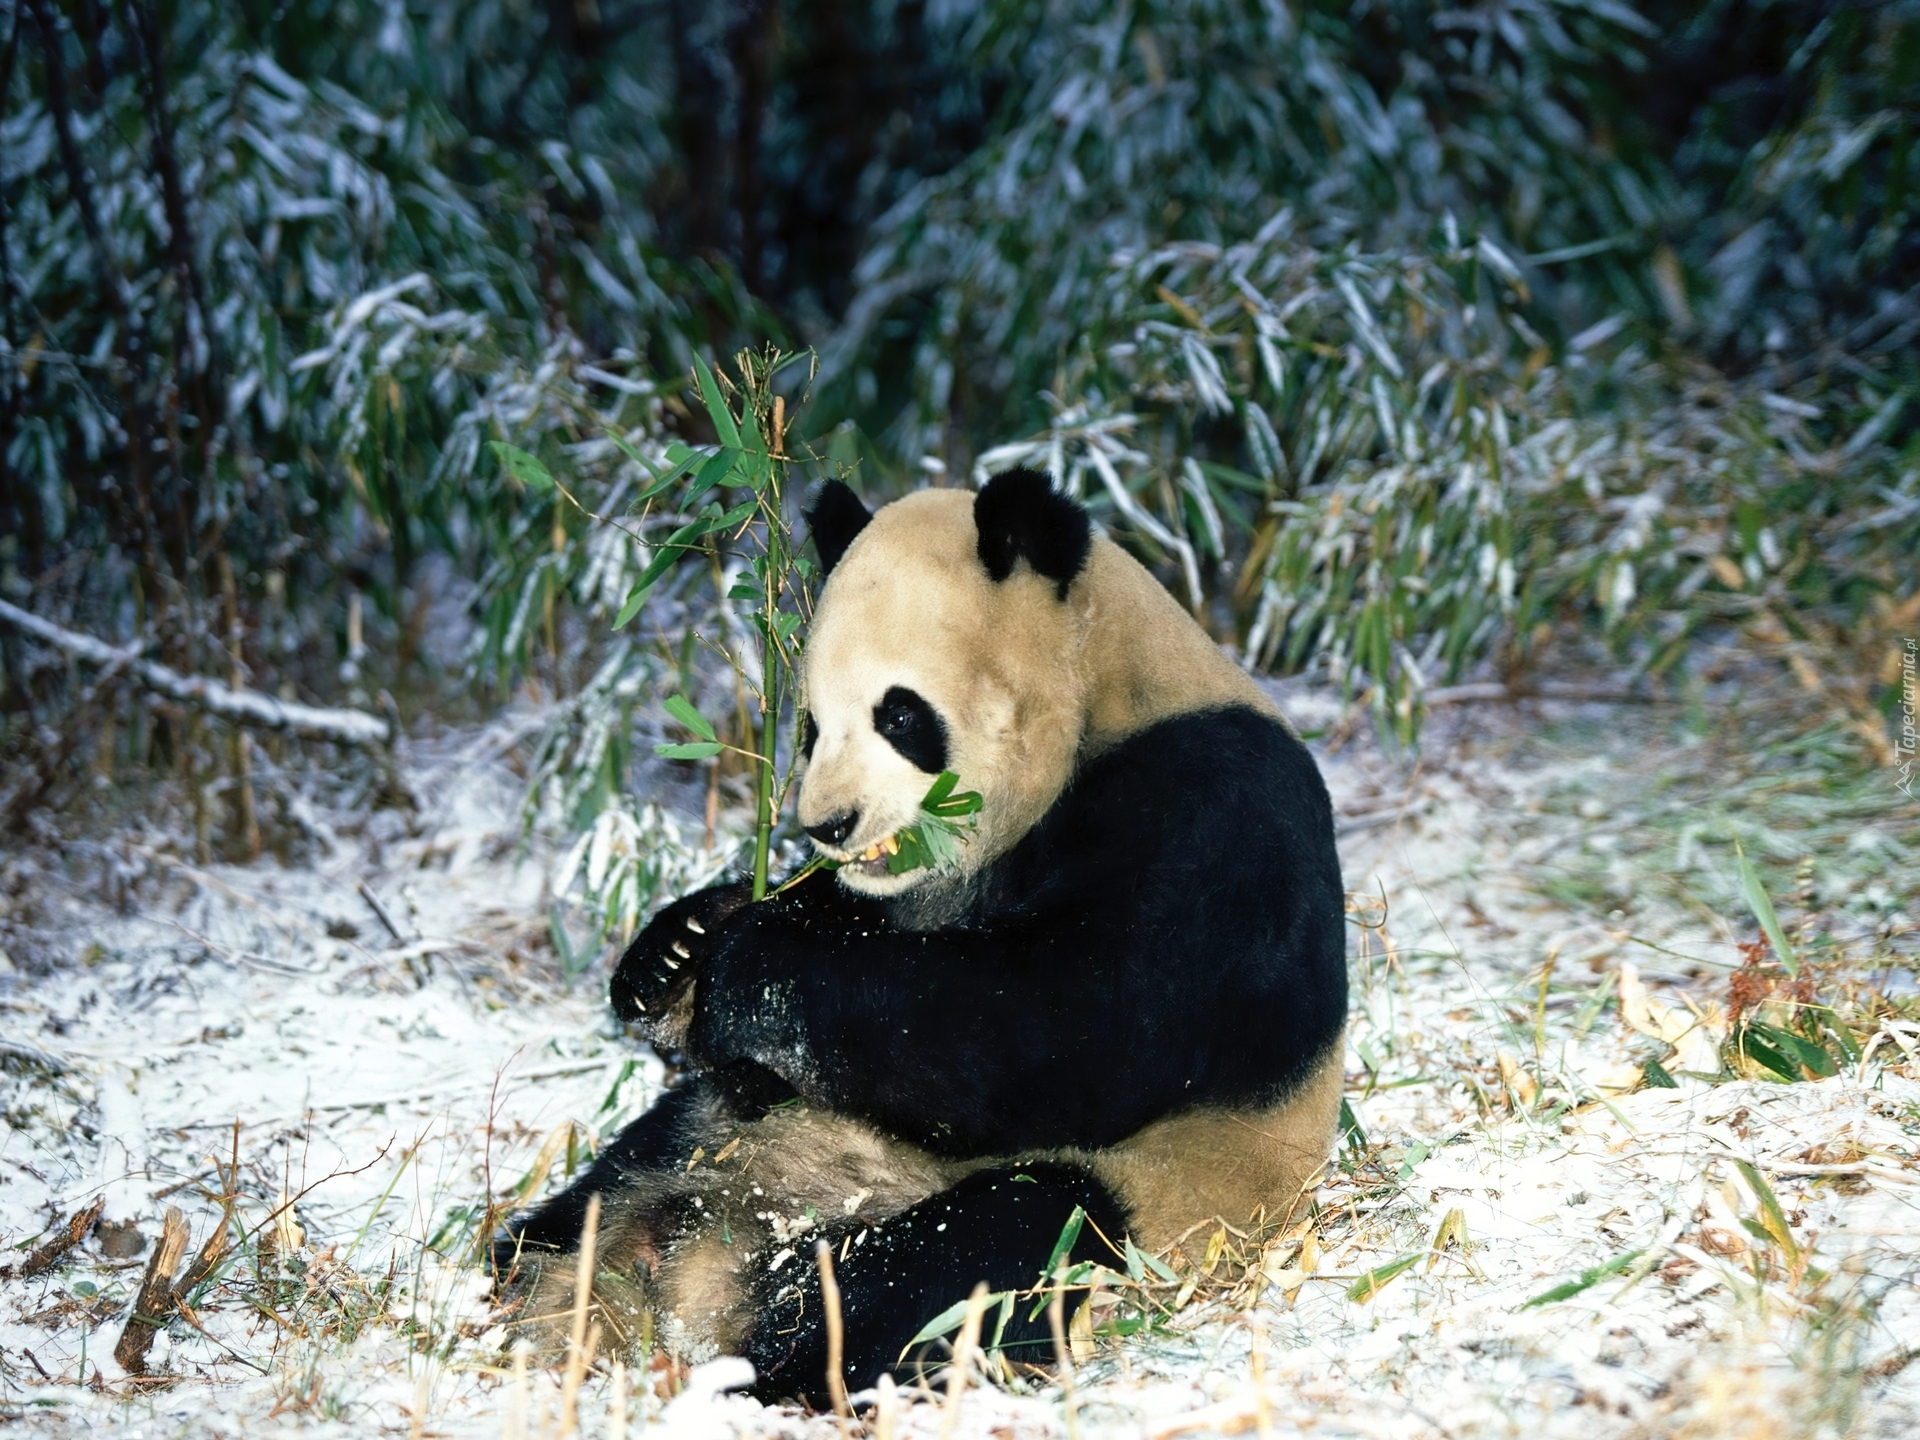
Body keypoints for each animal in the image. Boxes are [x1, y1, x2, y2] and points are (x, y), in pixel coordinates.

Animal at [503, 474, 1359, 1413]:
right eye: (810, 727)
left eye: (900, 715)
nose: (829, 823)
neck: (1103, 697)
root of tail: (706, 1276)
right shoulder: (900, 901)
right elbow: (837, 952)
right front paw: (676, 952)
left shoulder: (1216, 815)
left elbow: (1078, 1029)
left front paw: (744, 969)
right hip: (702, 1140)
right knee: (599, 1195)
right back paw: (538, 1285)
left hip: (1139, 1200)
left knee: (977, 1253)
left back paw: (780, 1372)